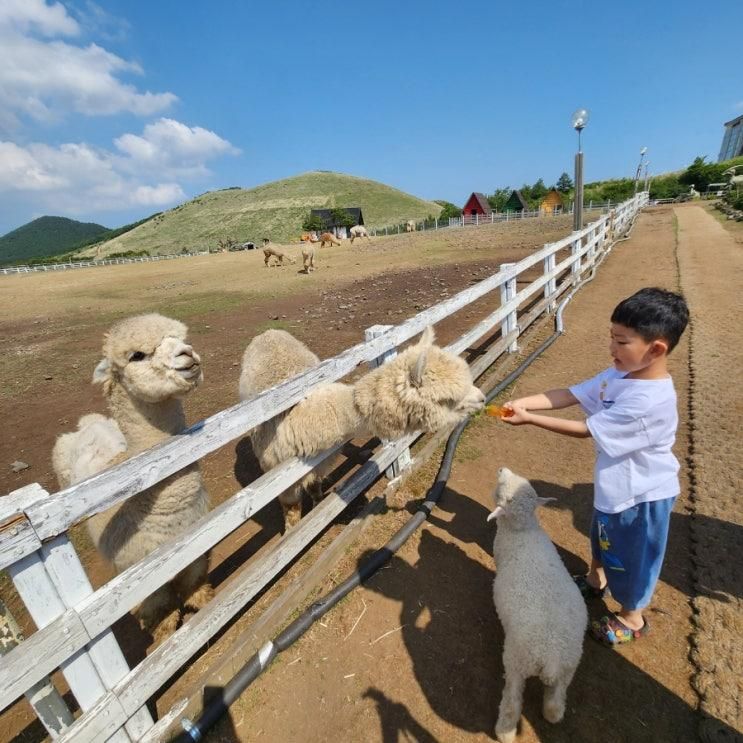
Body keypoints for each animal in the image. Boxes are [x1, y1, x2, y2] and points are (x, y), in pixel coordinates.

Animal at [51, 314, 215, 644]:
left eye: (181, 337)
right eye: (137, 355)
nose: (188, 354)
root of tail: (87, 423)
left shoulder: (195, 540)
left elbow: (193, 580)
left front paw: (202, 603)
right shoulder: (142, 570)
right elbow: (161, 607)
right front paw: (165, 634)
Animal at [241, 326, 488, 528]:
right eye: (447, 399)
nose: (483, 399)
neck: (303, 417)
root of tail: (269, 331)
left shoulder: (319, 463)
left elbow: (315, 488)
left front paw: (319, 507)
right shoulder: (279, 475)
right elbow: (292, 511)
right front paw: (292, 533)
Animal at [488, 468, 588, 740]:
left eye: (501, 487)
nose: (502, 469)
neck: (523, 531)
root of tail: (551, 657)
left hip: (516, 661)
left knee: (511, 701)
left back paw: (504, 732)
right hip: (569, 667)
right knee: (556, 700)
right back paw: (553, 714)